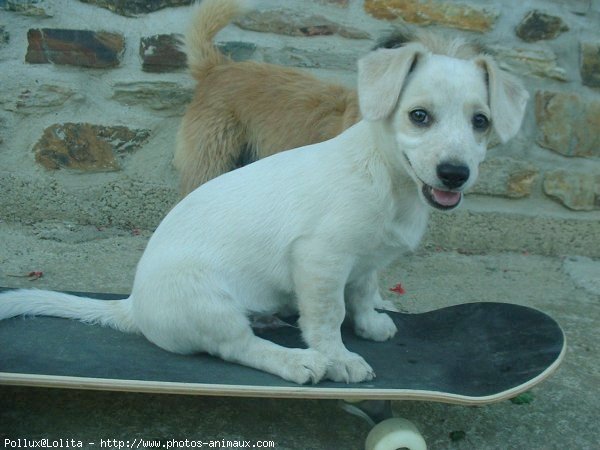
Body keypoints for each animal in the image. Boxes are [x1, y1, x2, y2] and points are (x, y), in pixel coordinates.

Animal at [0, 37, 524, 384]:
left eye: (481, 122)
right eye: (419, 116)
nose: (455, 173)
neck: (388, 178)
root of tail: (134, 306)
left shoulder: (364, 262)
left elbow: (361, 292)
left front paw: (371, 321)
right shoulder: (320, 259)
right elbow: (328, 316)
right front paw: (339, 357)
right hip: (209, 303)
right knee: (237, 347)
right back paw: (296, 361)